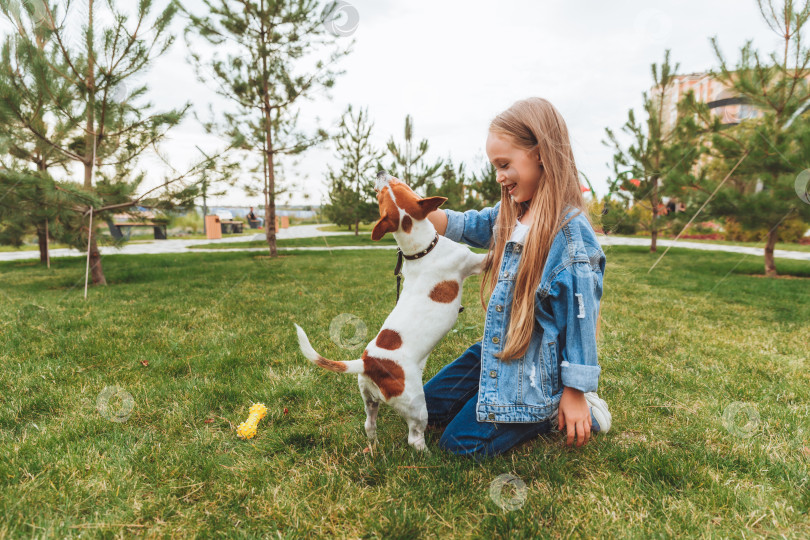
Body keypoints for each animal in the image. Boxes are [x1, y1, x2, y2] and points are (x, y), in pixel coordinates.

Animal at [296, 173, 486, 452]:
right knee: (414, 437)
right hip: (416, 405)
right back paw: (427, 455)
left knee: (369, 425)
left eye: (387, 190)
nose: (379, 173)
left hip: (368, 400)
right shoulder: (475, 263)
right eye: (394, 186)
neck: (419, 250)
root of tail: (368, 362)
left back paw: (374, 450)